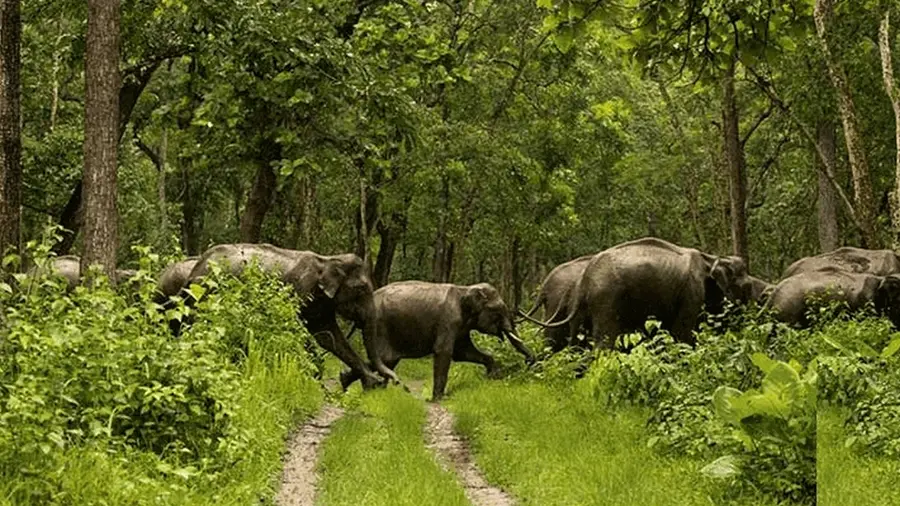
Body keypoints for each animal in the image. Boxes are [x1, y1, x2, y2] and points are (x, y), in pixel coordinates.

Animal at [182, 243, 396, 389]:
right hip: (206, 293)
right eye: (361, 289)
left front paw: (370, 382)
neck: (328, 259)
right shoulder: (299, 291)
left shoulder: (322, 305)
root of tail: (196, 267)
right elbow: (297, 329)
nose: (393, 381)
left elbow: (330, 338)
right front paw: (315, 378)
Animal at [339, 281, 535, 400]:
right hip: (380, 326)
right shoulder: (448, 321)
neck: (465, 289)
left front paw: (492, 375)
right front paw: (438, 399)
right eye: (498, 310)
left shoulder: (461, 327)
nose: (529, 360)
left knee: (386, 360)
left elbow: (463, 353)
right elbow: (444, 352)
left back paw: (349, 383)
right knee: (385, 358)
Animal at [520, 237, 752, 348]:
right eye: (747, 286)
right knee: (603, 341)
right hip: (606, 300)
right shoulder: (691, 293)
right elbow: (682, 333)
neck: (710, 258)